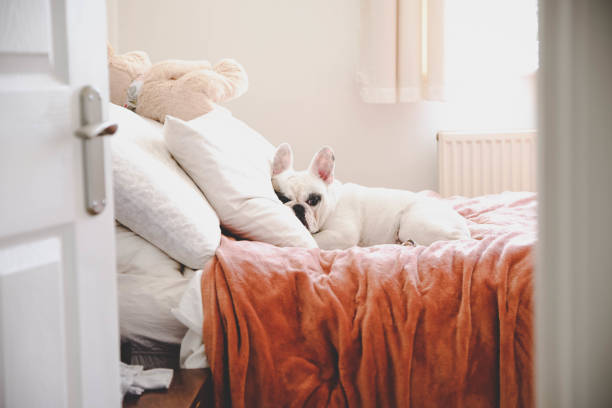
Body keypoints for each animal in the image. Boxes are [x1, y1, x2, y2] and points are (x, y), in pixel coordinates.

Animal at [272, 145, 468, 250]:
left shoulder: (342, 234)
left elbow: (314, 239)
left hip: (412, 223)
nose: (298, 207)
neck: (331, 204)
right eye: (282, 198)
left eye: (313, 200)